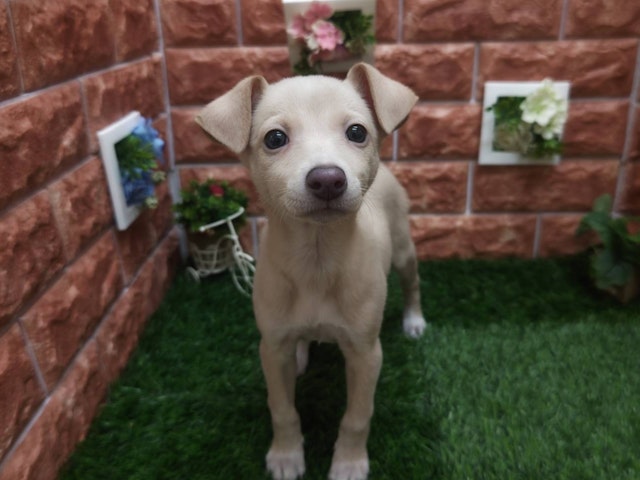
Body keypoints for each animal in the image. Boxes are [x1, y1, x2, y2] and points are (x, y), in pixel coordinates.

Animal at [196, 63, 427, 480]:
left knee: (412, 282)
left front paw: (349, 462)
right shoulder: (271, 349)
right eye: (275, 138)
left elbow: (357, 416)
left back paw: (414, 320)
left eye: (357, 132)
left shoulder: (366, 353)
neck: (316, 263)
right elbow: (282, 409)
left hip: (403, 248)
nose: (327, 179)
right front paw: (286, 455)